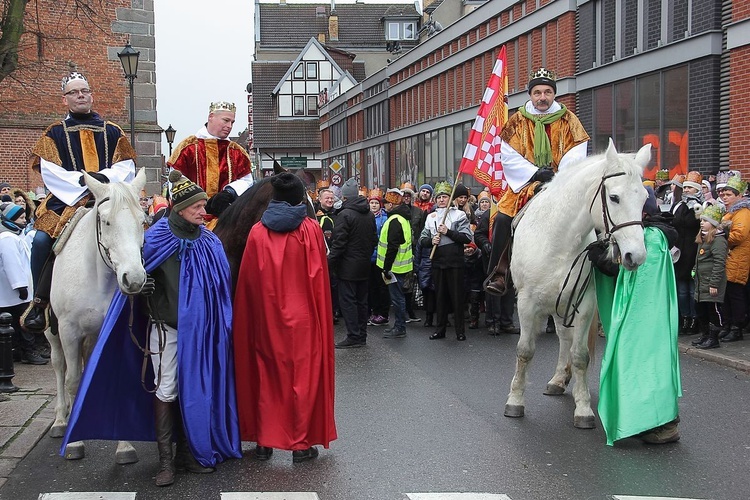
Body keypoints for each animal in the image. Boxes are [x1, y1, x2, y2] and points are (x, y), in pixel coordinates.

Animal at [46, 170, 148, 462]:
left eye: (143, 220)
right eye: (106, 221)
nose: (134, 279)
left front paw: (124, 445)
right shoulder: (68, 331)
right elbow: (72, 380)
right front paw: (73, 443)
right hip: (52, 331)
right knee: (59, 365)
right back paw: (61, 420)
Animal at [506, 139, 652, 428]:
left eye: (643, 198)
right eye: (614, 197)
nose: (636, 256)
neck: (556, 239)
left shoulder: (583, 303)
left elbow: (580, 356)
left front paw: (583, 407)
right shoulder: (526, 303)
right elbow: (525, 350)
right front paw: (515, 400)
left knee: (565, 338)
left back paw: (560, 379)